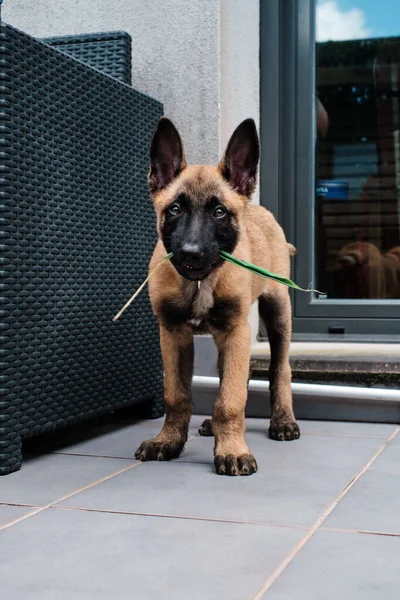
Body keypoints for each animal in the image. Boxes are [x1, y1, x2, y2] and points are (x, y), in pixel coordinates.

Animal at [135, 116, 300, 474]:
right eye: (175, 209)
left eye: (220, 212)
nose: (190, 253)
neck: (200, 284)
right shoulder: (173, 334)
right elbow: (176, 395)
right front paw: (168, 441)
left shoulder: (237, 331)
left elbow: (231, 398)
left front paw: (232, 450)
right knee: (233, 373)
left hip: (278, 312)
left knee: (279, 369)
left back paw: (282, 420)